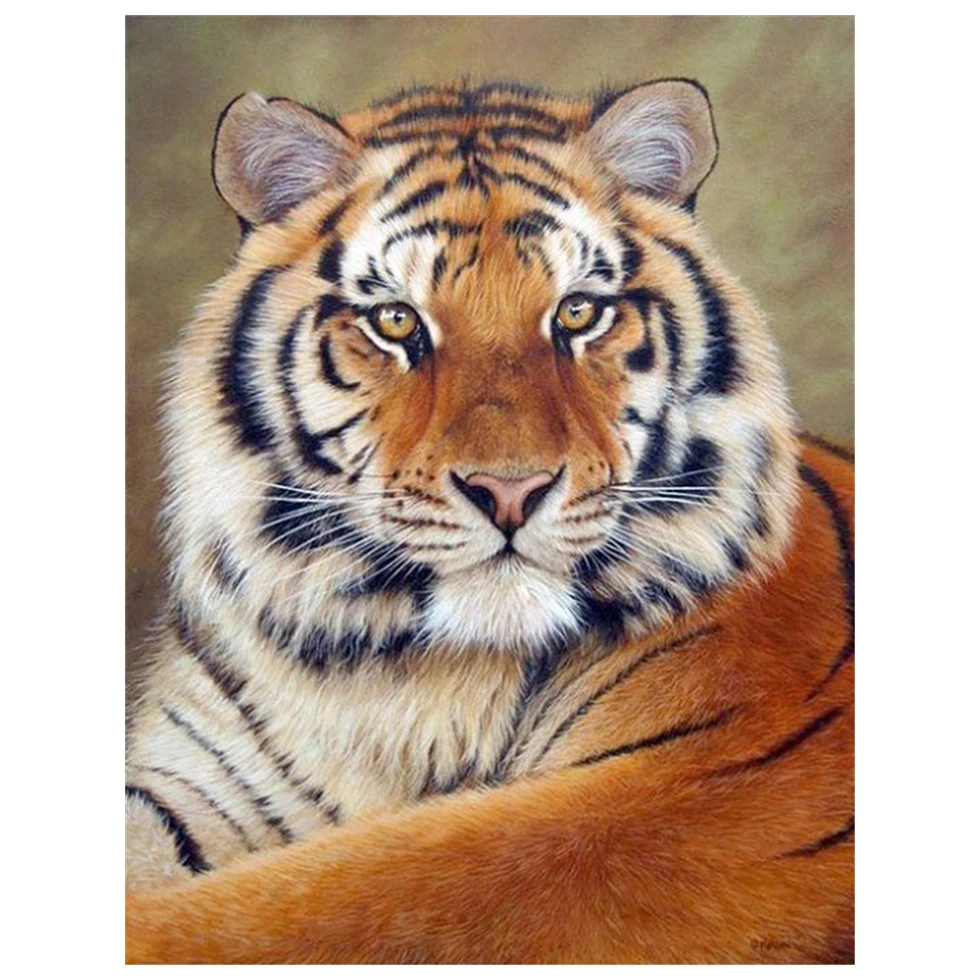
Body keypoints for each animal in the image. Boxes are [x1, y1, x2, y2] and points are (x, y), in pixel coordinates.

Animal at [125, 77, 854, 964]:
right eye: (396, 321)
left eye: (577, 313)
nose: (510, 491)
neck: (400, 676)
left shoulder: (691, 790)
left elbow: (337, 898)